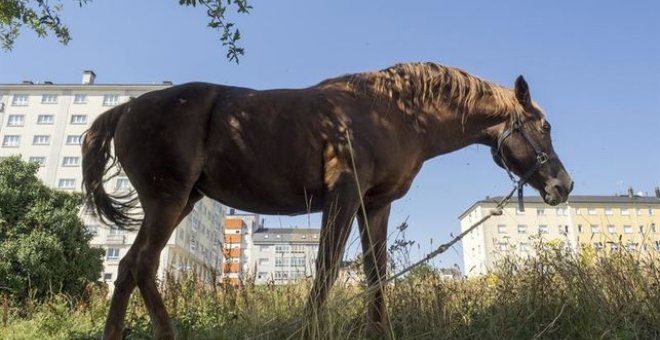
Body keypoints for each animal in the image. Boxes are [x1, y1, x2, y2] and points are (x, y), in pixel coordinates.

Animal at [81, 62, 572, 338]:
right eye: (545, 126)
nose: (563, 186)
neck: (395, 112)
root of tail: (125, 108)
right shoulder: (343, 196)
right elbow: (326, 271)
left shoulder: (374, 205)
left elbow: (376, 274)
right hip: (168, 200)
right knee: (143, 266)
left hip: (177, 203)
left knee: (129, 267)